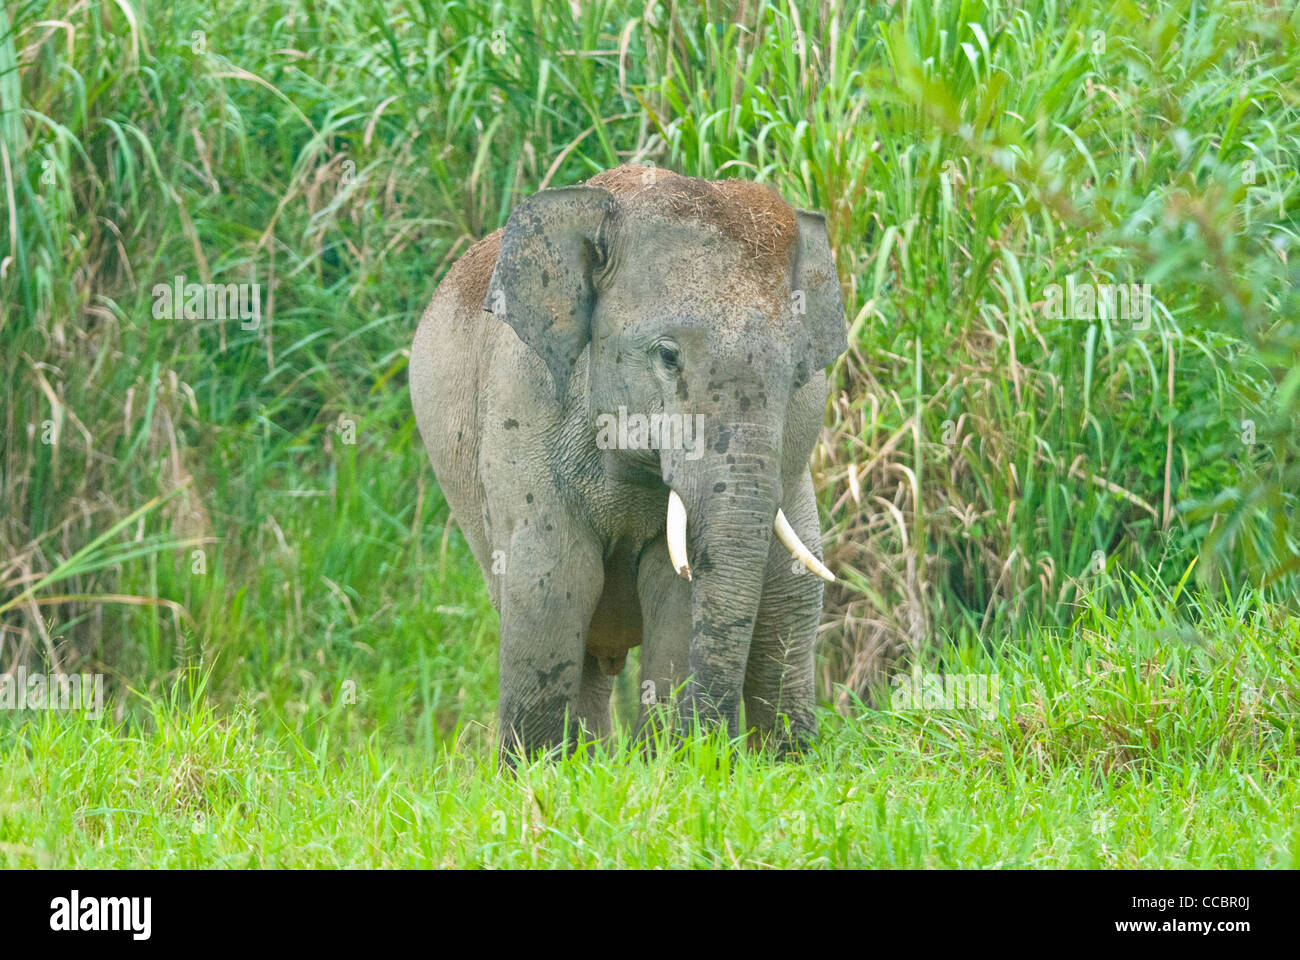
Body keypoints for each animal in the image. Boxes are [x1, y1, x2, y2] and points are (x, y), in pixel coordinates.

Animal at [410, 166, 847, 764]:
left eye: (799, 373)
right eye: (667, 356)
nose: (712, 748)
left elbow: (674, 586)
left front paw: (668, 762)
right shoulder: (520, 400)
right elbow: (553, 579)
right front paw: (533, 773)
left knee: (790, 601)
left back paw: (788, 761)